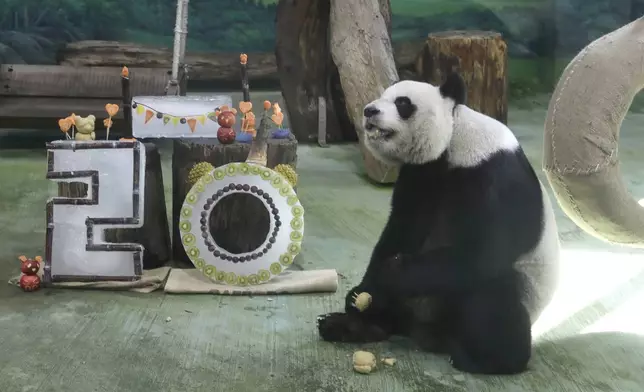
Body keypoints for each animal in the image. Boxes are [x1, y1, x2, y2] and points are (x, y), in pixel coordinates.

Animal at [316, 72, 560, 376]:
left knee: (493, 292)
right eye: (382, 97)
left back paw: (489, 360)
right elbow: (401, 229)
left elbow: (484, 252)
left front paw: (390, 273)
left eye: (402, 103)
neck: (454, 144)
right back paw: (351, 325)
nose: (369, 111)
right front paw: (361, 294)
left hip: (514, 293)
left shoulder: (496, 176)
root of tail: (424, 330)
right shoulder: (421, 174)